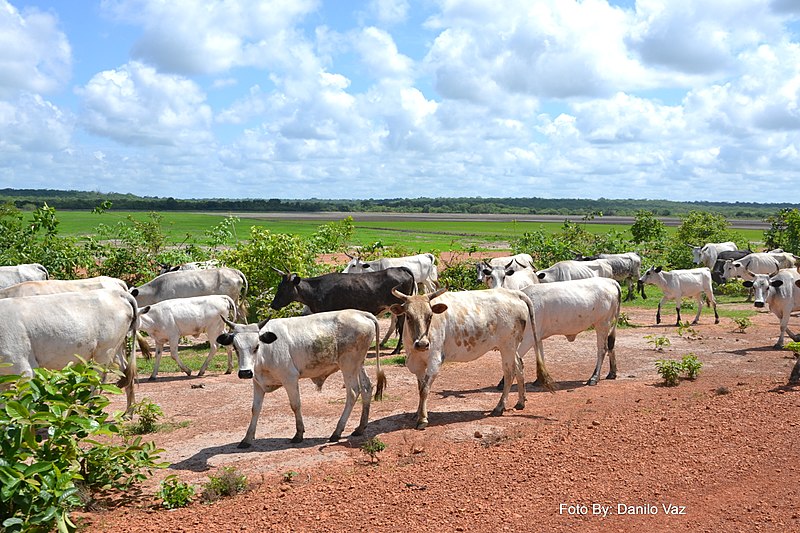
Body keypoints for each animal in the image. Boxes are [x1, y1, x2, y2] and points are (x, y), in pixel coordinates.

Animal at [0, 290, 138, 412]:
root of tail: (117, 293)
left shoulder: (23, 368)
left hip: (104, 351)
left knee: (98, 382)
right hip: (116, 349)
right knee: (126, 372)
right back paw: (128, 412)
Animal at [216, 310, 384, 446]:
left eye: (256, 346)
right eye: (235, 347)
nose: (245, 372)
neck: (267, 350)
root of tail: (362, 313)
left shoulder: (290, 379)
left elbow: (295, 405)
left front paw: (298, 434)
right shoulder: (257, 383)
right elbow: (255, 409)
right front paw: (247, 439)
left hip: (348, 365)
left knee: (353, 392)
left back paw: (336, 432)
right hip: (358, 364)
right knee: (366, 388)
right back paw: (360, 427)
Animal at [270, 266, 416, 354]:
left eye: (284, 288)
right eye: (278, 286)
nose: (273, 304)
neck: (316, 290)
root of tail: (400, 268)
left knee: (402, 325)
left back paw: (397, 350)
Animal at [390, 286, 552, 428]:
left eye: (430, 316)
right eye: (408, 316)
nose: (422, 344)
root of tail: (513, 293)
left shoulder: (434, 360)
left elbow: (424, 389)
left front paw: (423, 419)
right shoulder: (417, 363)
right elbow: (420, 388)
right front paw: (418, 413)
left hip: (508, 345)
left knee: (509, 373)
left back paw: (499, 407)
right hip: (511, 348)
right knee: (519, 366)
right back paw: (520, 402)